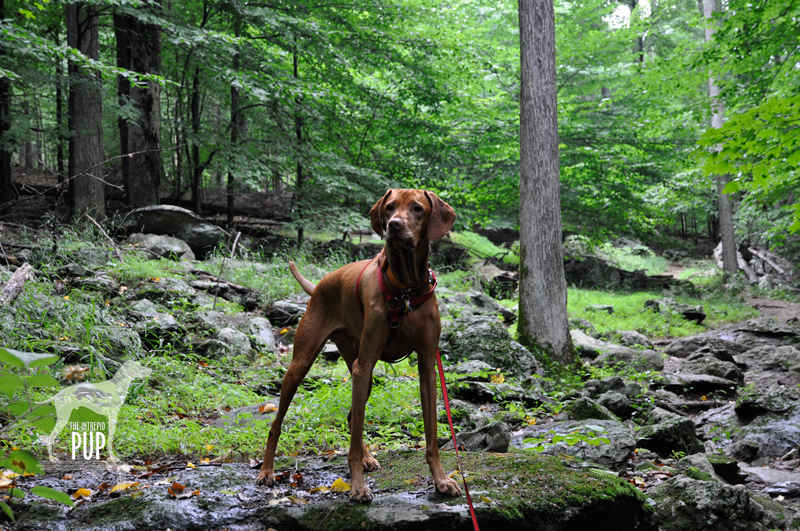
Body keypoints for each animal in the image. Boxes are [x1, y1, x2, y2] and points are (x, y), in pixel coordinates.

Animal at [256, 189, 456, 500]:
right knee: (277, 425)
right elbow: (352, 442)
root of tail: (319, 285)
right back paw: (266, 471)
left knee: (353, 417)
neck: (406, 289)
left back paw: (367, 457)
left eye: (417, 208)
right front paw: (358, 487)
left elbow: (432, 436)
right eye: (390, 208)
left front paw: (441, 480)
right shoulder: (365, 364)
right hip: (303, 364)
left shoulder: (426, 365)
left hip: (361, 368)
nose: (394, 225)